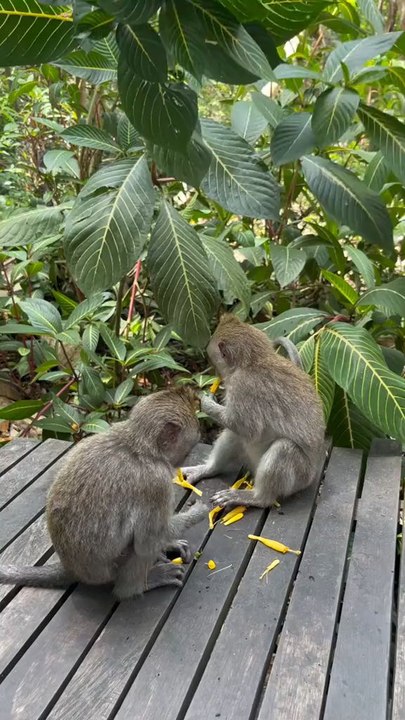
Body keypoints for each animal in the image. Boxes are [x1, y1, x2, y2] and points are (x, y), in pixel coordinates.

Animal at [0, 387, 208, 600]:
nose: (184, 459)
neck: (139, 446)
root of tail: (70, 568)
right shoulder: (156, 484)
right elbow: (146, 541)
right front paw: (197, 514)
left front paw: (170, 543)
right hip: (112, 570)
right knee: (137, 548)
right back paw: (136, 587)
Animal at [182, 315, 325, 510]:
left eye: (212, 360)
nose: (215, 373)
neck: (254, 361)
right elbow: (239, 430)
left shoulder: (242, 387)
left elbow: (247, 428)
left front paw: (207, 403)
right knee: (234, 435)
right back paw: (210, 469)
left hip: (301, 478)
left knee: (283, 448)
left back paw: (258, 498)